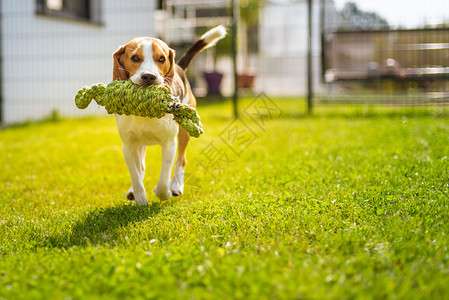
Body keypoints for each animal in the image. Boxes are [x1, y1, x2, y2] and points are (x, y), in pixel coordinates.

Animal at [110, 25, 226, 205]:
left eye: (161, 59)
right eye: (135, 58)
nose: (149, 76)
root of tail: (179, 68)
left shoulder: (169, 143)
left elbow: (164, 180)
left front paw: (163, 192)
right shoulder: (128, 146)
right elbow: (136, 174)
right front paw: (140, 198)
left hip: (184, 132)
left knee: (181, 160)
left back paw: (176, 185)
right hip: (140, 143)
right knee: (141, 166)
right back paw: (133, 191)